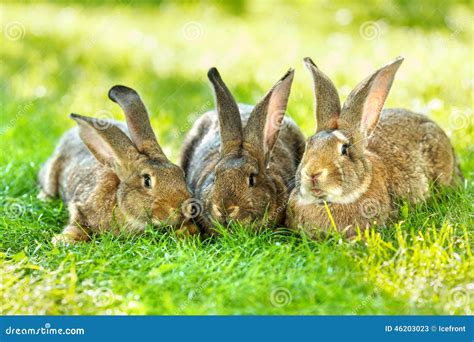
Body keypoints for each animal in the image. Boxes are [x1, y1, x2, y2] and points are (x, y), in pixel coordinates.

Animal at [37, 85, 193, 243]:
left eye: (181, 173)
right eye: (147, 180)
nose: (185, 208)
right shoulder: (79, 206)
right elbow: (78, 225)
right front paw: (62, 240)